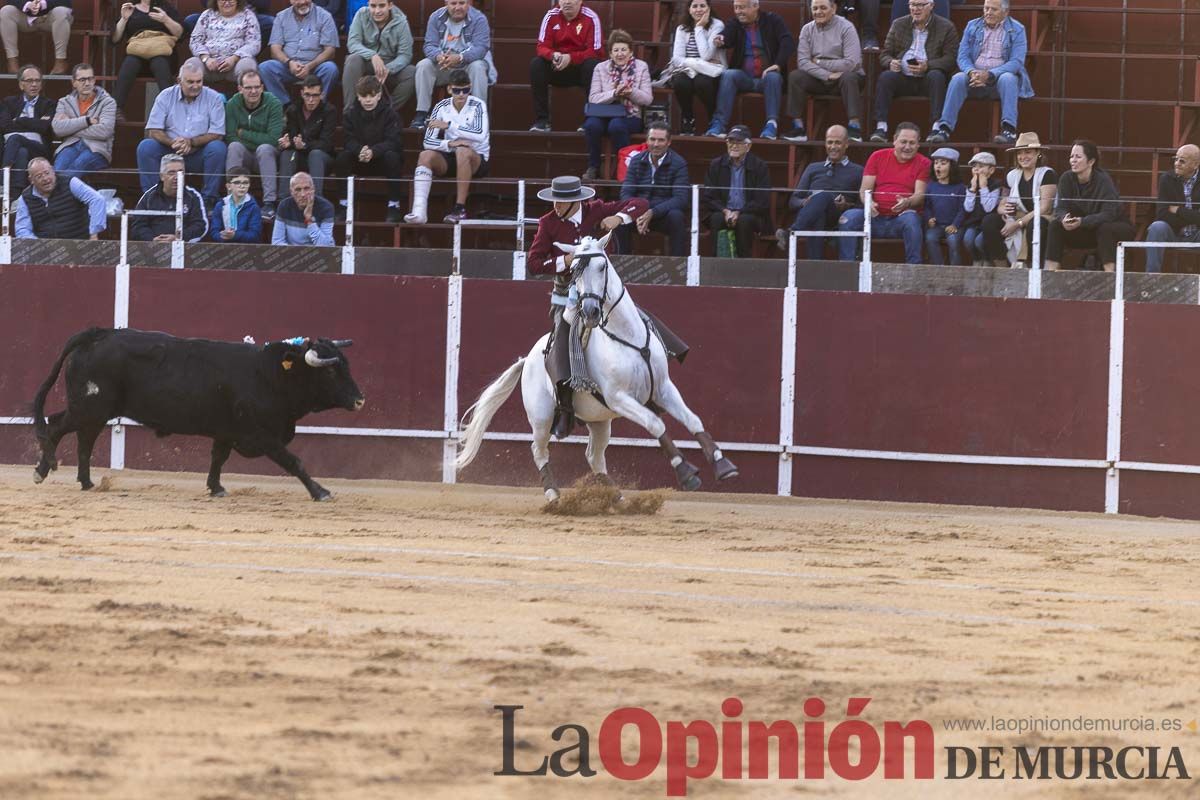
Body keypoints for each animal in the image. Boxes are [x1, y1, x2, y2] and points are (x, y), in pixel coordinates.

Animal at [32, 326, 364, 501]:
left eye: (347, 364)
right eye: (331, 371)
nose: (360, 400)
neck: (271, 374)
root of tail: (98, 334)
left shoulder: (227, 431)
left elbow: (218, 458)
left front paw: (216, 488)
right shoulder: (261, 433)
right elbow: (293, 461)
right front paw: (320, 491)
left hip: (93, 410)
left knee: (76, 436)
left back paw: (83, 481)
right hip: (90, 408)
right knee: (58, 428)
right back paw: (45, 472)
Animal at [453, 232, 734, 501]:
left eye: (601, 266)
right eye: (574, 270)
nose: (589, 311)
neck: (627, 335)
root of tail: (528, 359)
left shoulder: (663, 389)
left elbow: (693, 420)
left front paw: (723, 466)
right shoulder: (619, 398)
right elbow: (656, 424)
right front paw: (686, 473)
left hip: (599, 420)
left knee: (594, 456)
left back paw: (616, 498)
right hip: (541, 417)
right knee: (539, 450)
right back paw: (554, 495)